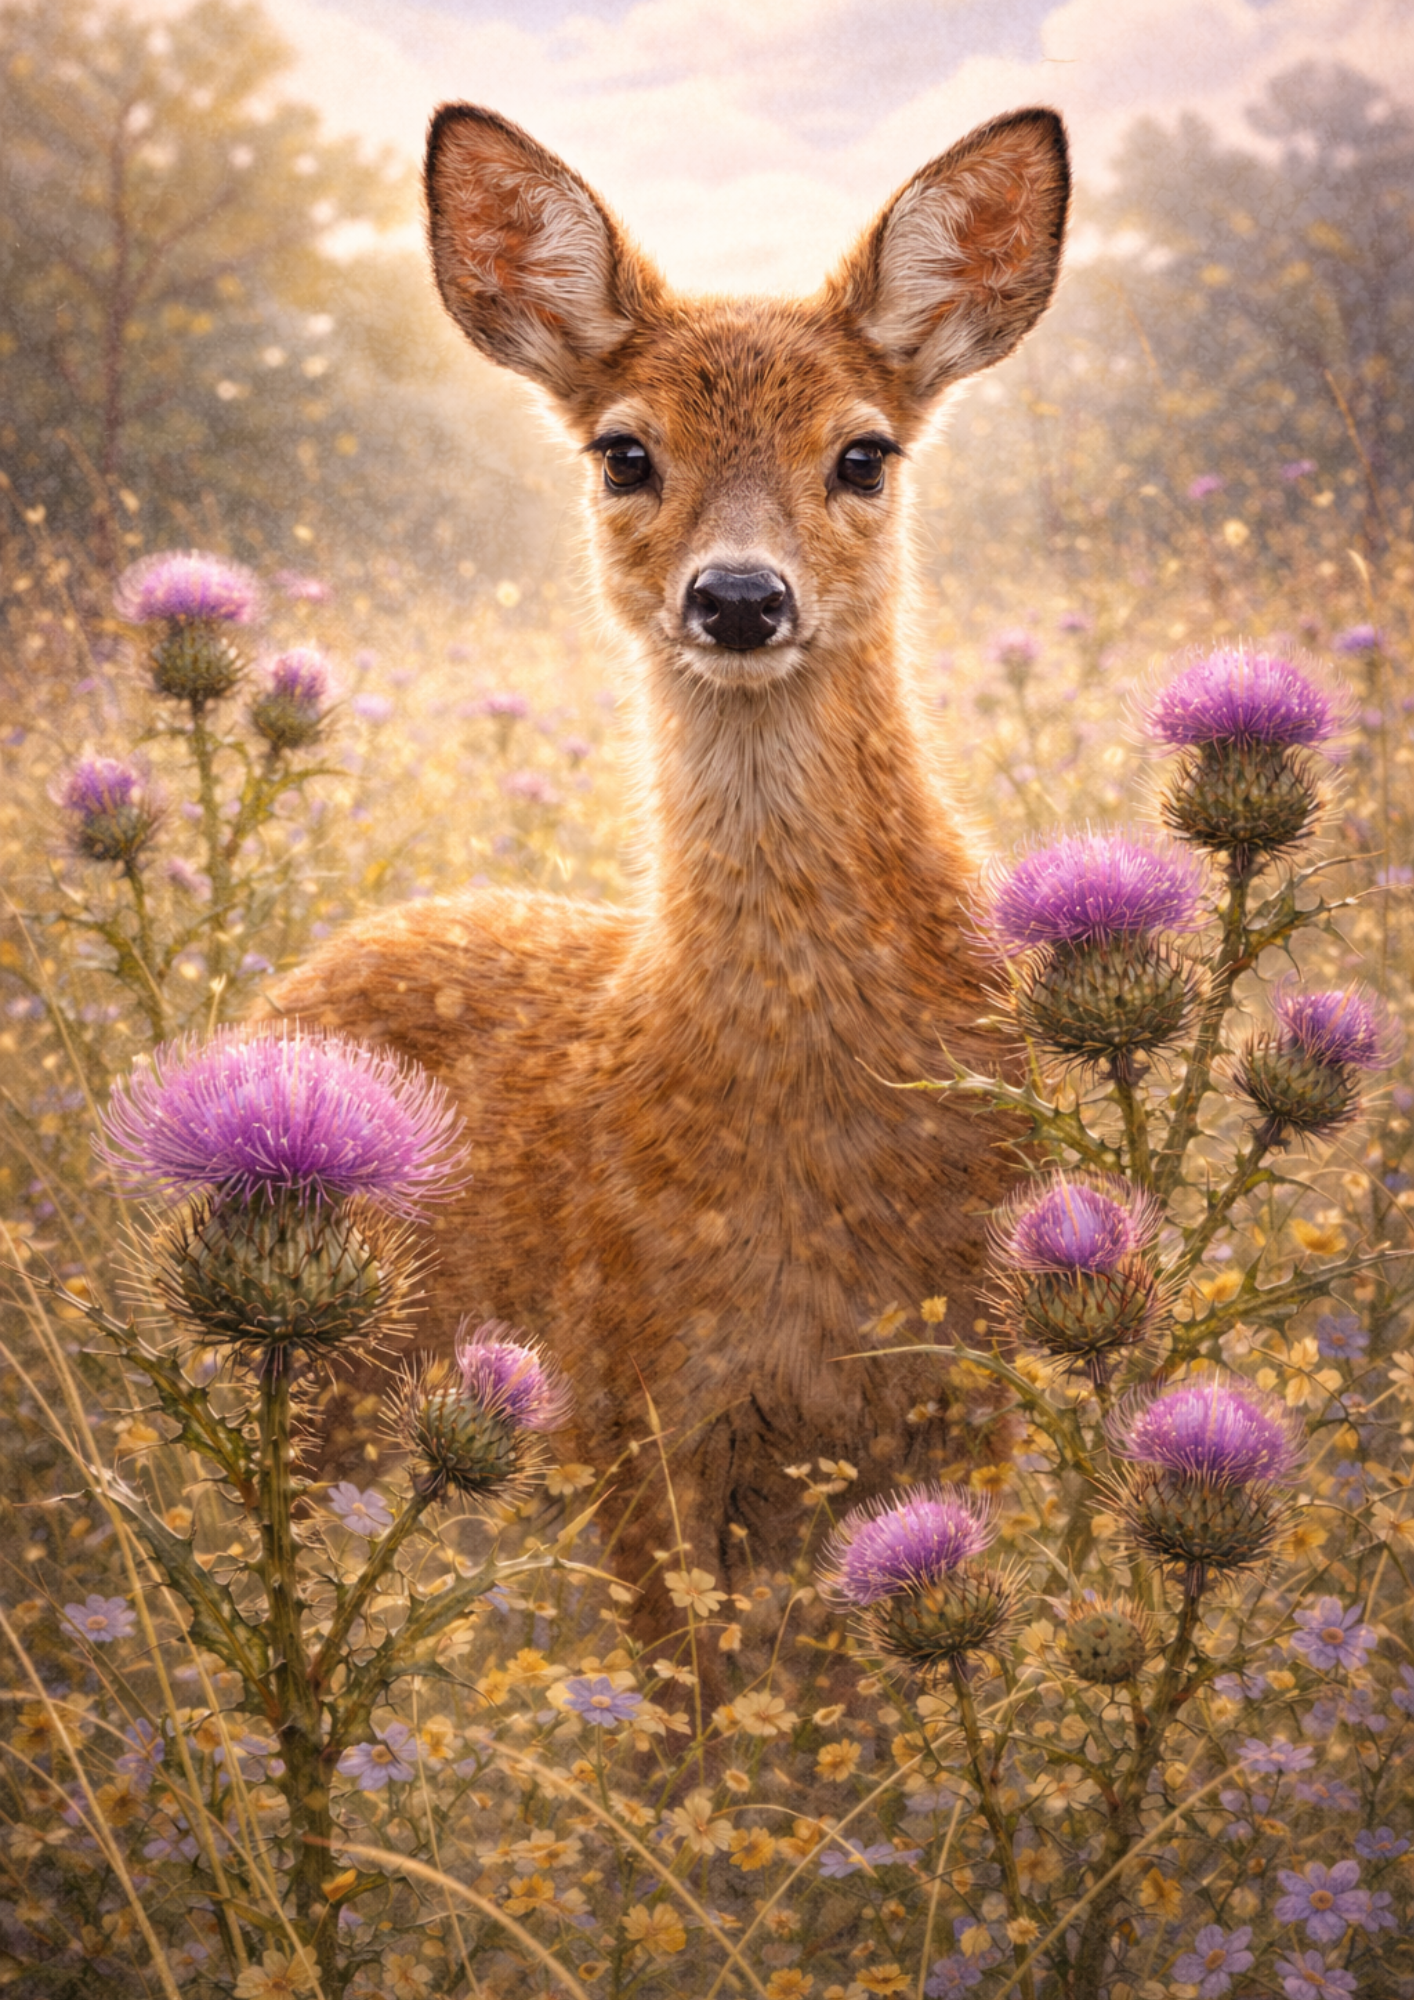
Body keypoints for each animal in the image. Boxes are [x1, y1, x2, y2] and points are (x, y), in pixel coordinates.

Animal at [264, 101, 1070, 1656]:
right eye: (624, 453)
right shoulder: (627, 1401)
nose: (740, 597)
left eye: (864, 454)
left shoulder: (966, 1390)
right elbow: (688, 1707)